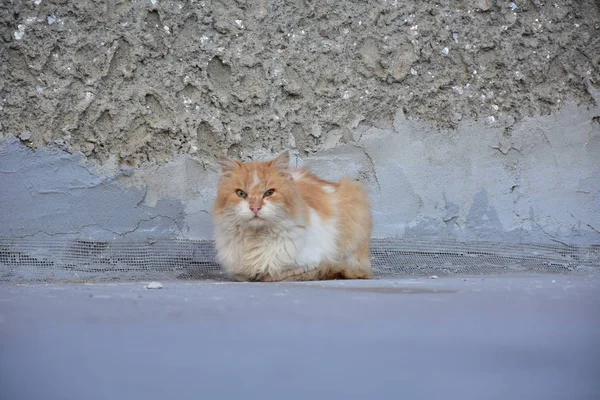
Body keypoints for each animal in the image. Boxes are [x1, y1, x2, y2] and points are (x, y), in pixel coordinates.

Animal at [211, 150, 370, 282]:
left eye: (269, 192)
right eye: (241, 193)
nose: (255, 208)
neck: (256, 239)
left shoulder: (310, 261)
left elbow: (274, 273)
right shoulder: (237, 272)